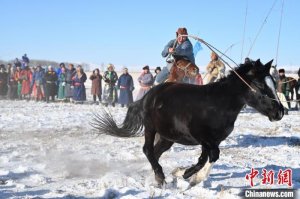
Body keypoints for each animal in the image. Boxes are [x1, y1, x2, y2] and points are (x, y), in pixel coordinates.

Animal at [92, 59, 284, 187]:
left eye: (273, 83)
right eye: (260, 84)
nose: (280, 112)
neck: (218, 104)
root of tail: (148, 96)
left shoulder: (212, 140)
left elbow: (205, 158)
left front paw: (183, 173)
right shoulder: (202, 137)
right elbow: (213, 156)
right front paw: (191, 176)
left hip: (167, 136)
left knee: (156, 152)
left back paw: (156, 174)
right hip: (151, 128)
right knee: (147, 149)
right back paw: (160, 177)